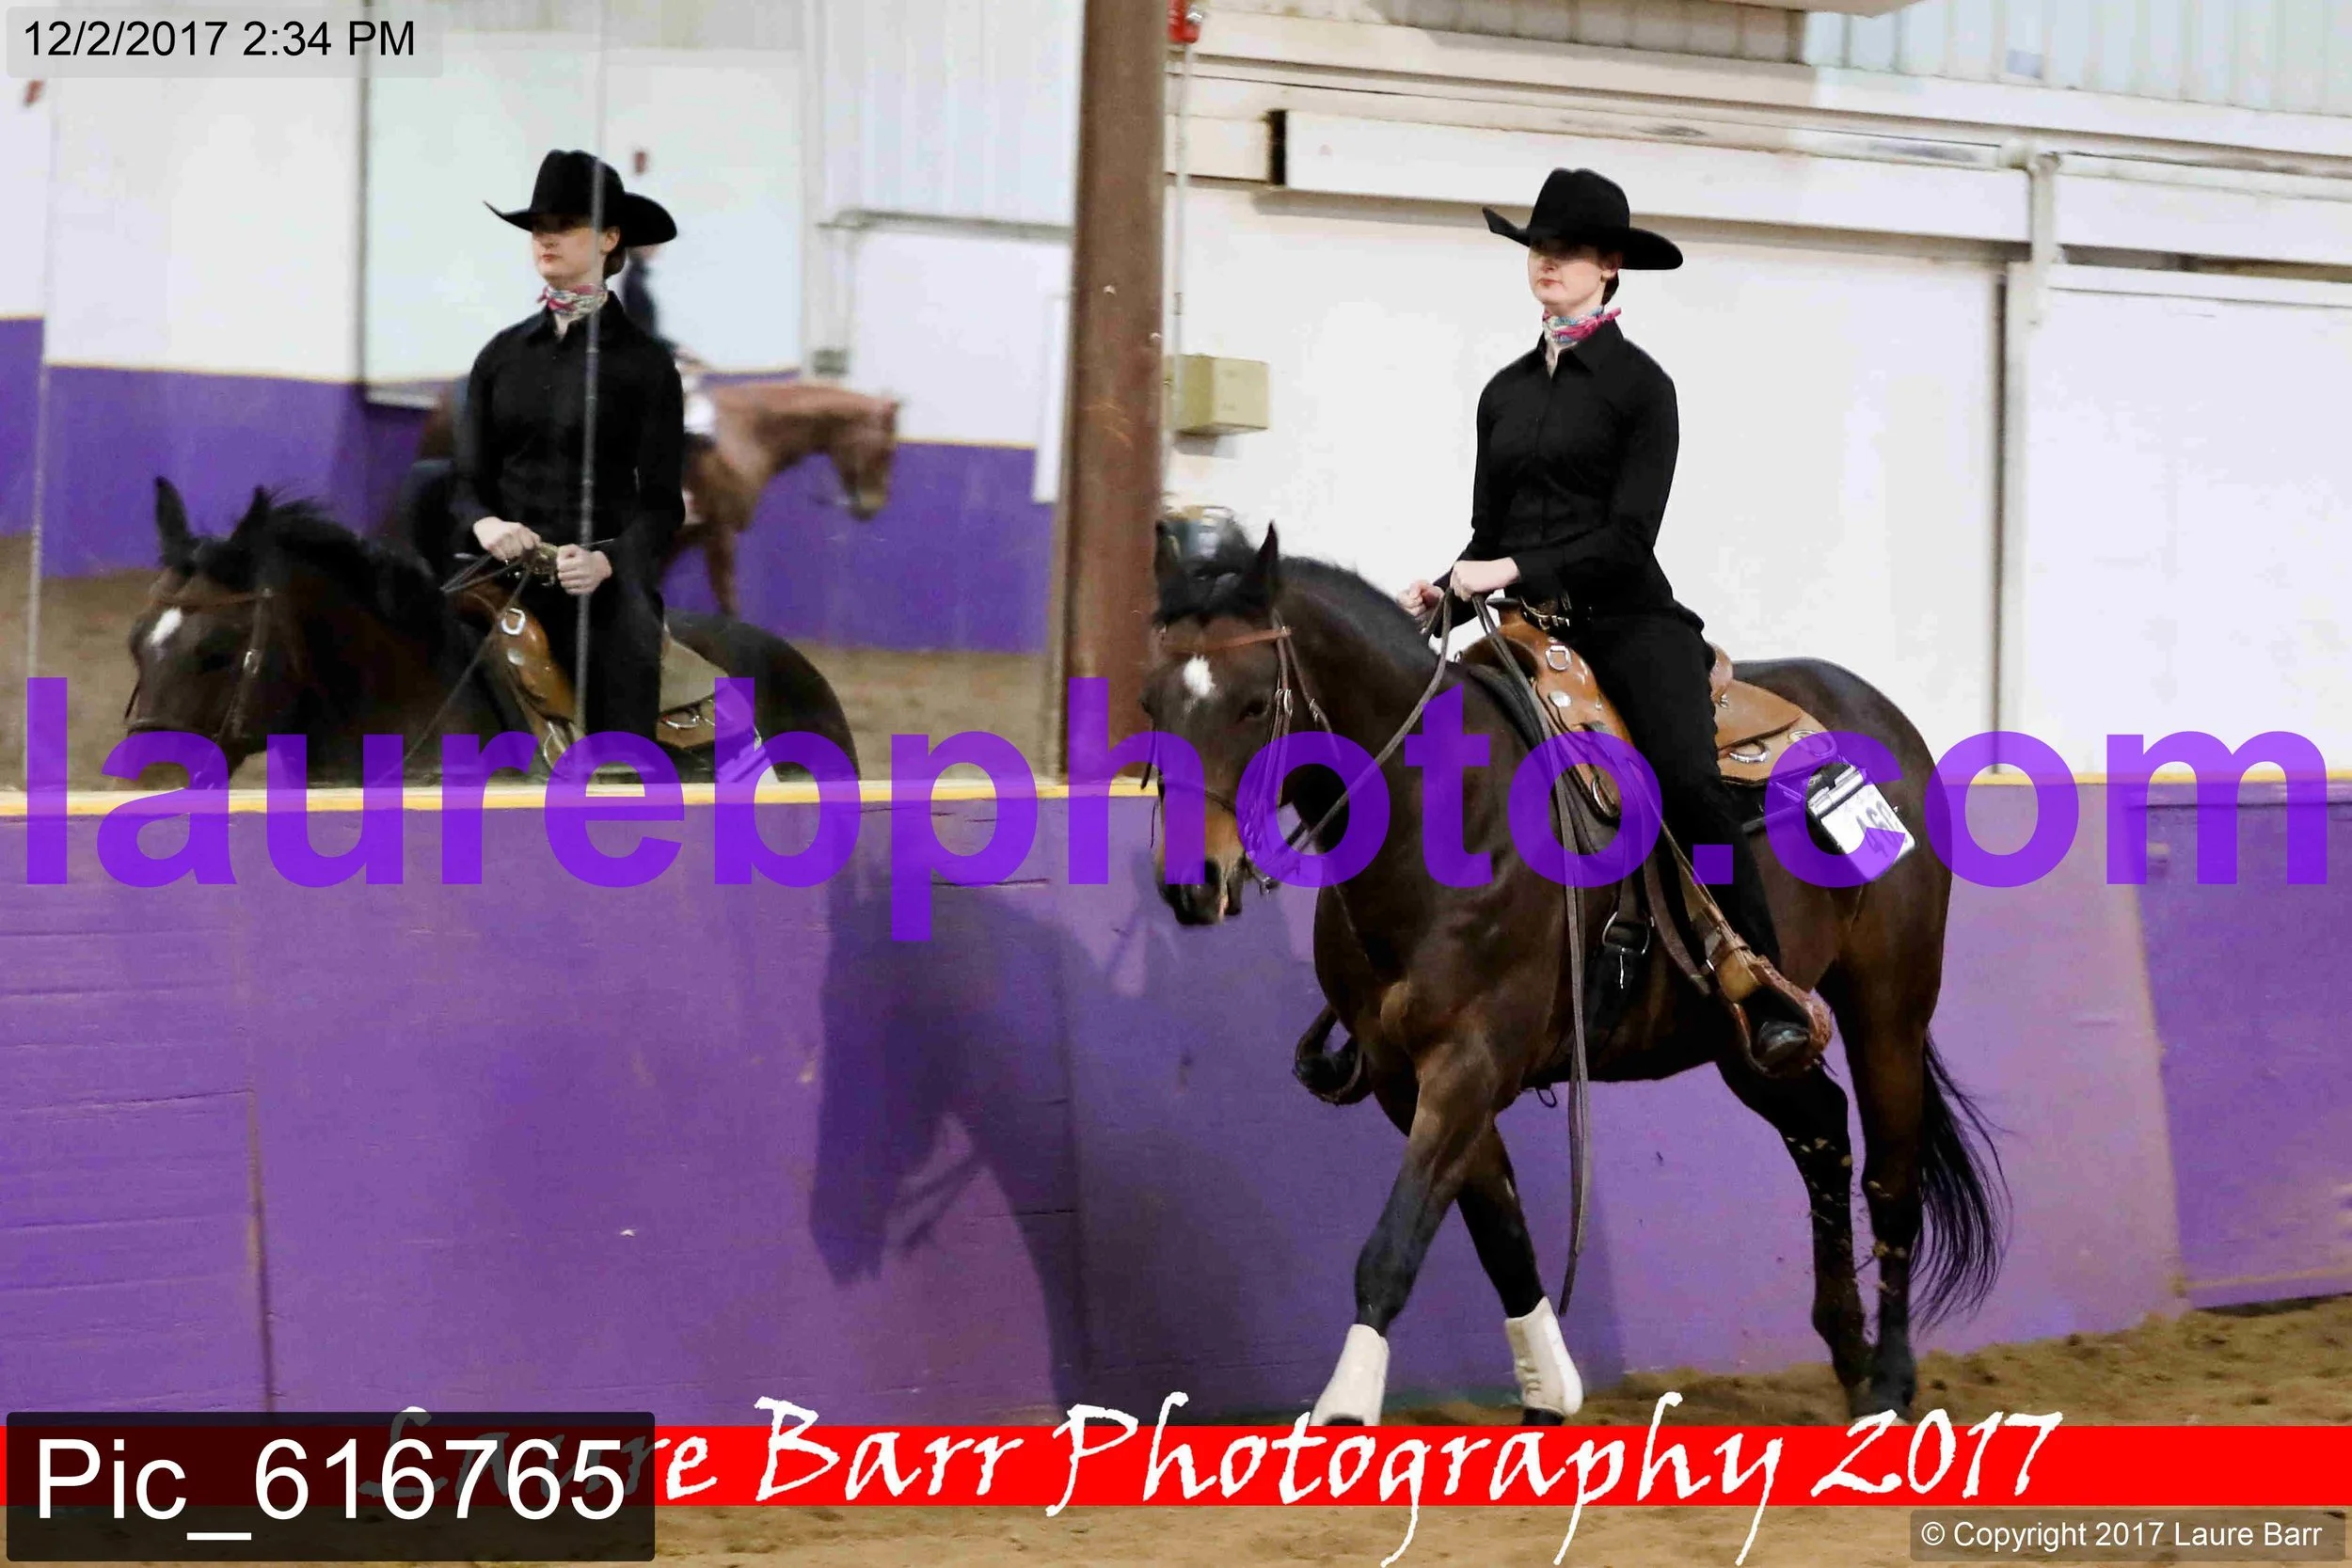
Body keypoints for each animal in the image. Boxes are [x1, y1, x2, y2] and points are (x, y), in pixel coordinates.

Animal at [396, 378, 899, 617]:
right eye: (887, 450)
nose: (872, 506)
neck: (746, 434)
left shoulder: (678, 540)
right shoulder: (718, 534)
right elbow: (728, 596)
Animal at [1139, 522, 2004, 1424]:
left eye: (1250, 704)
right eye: (1150, 706)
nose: (1193, 882)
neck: (1442, 808)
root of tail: (1880, 715)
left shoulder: (1470, 1062)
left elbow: (1394, 1243)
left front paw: (1345, 1405)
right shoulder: (1406, 1077)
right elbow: (1501, 1233)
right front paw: (1548, 1389)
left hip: (1889, 1007)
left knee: (1891, 1174)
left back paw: (1892, 1381)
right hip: (1743, 1042)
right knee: (1823, 1131)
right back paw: (1848, 1353)